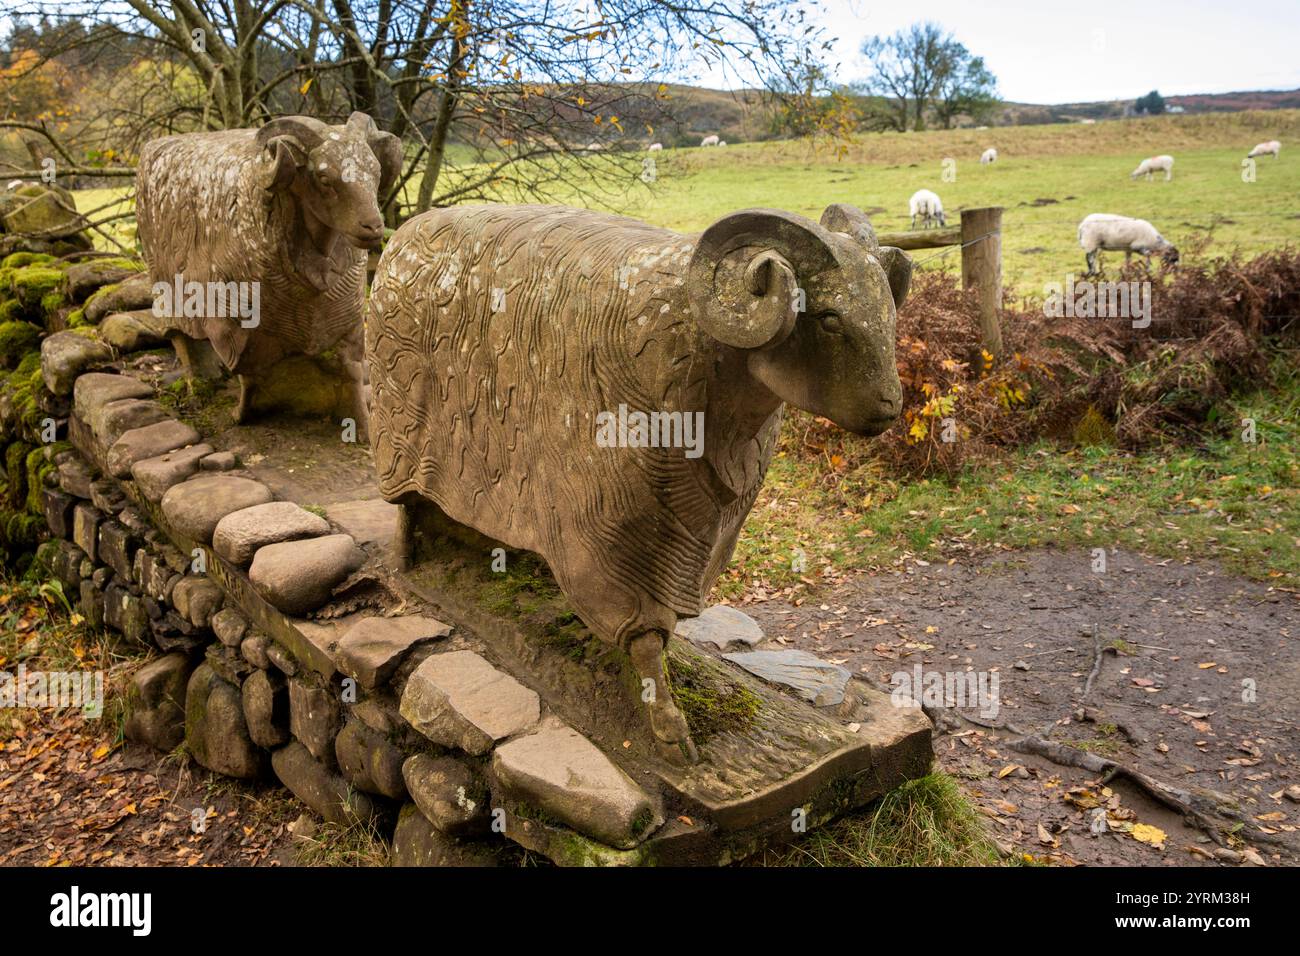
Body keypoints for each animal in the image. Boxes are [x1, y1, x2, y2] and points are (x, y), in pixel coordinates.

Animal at [135, 109, 400, 434]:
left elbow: (349, 370)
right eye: (323, 178)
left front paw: (360, 424)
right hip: (170, 293)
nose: (373, 227)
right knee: (183, 342)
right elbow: (250, 372)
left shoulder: (344, 317)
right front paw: (243, 414)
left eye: (376, 171)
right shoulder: (240, 326)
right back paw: (198, 384)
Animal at [369, 200, 915, 764]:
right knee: (406, 506)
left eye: (888, 311)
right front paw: (668, 728)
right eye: (829, 318)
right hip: (400, 433)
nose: (890, 405)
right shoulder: (603, 525)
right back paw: (409, 560)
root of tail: (403, 237)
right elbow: (644, 635)